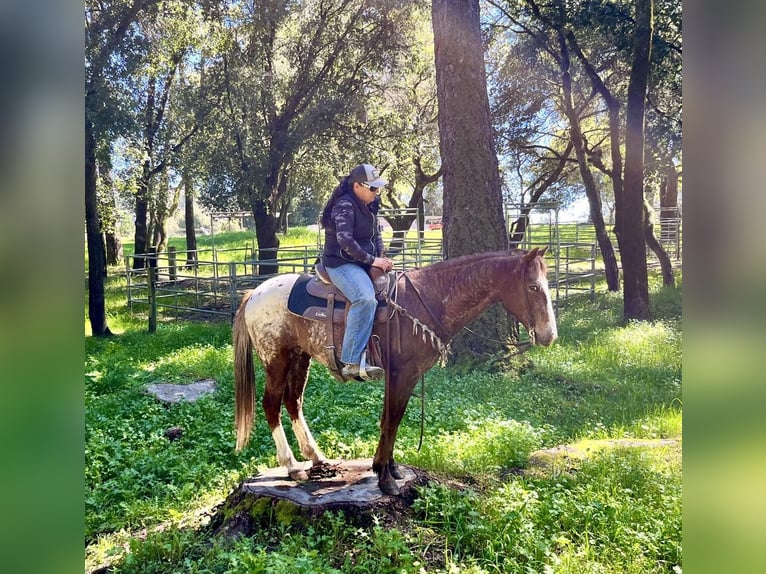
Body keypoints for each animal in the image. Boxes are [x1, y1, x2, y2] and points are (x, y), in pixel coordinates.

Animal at [232, 246, 560, 496]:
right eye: (533, 287)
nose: (549, 336)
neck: (428, 299)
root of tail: (254, 293)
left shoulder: (401, 376)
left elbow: (391, 419)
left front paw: (389, 468)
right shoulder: (402, 374)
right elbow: (391, 421)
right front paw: (385, 479)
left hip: (301, 358)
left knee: (293, 403)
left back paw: (317, 459)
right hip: (277, 360)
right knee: (272, 405)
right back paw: (292, 467)